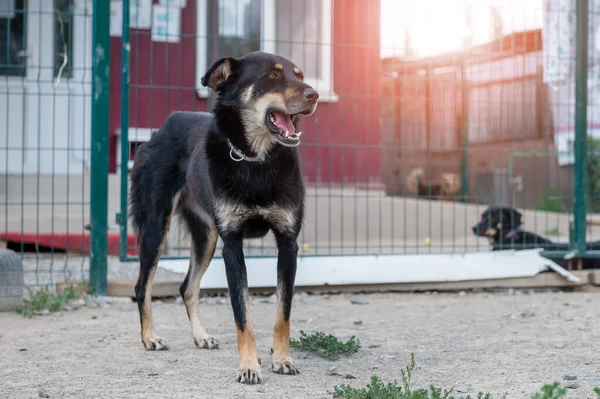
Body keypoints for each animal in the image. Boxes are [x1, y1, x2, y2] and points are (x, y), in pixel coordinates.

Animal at [127, 50, 318, 384]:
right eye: (272, 75)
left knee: (187, 287)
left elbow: (283, 312)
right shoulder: (232, 246)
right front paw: (249, 366)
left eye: (299, 75)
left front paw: (281, 358)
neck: (256, 162)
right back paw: (150, 337)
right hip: (155, 227)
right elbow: (242, 315)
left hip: (206, 237)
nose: (315, 95)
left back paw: (201, 336)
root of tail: (162, 127)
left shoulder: (287, 243)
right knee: (142, 286)